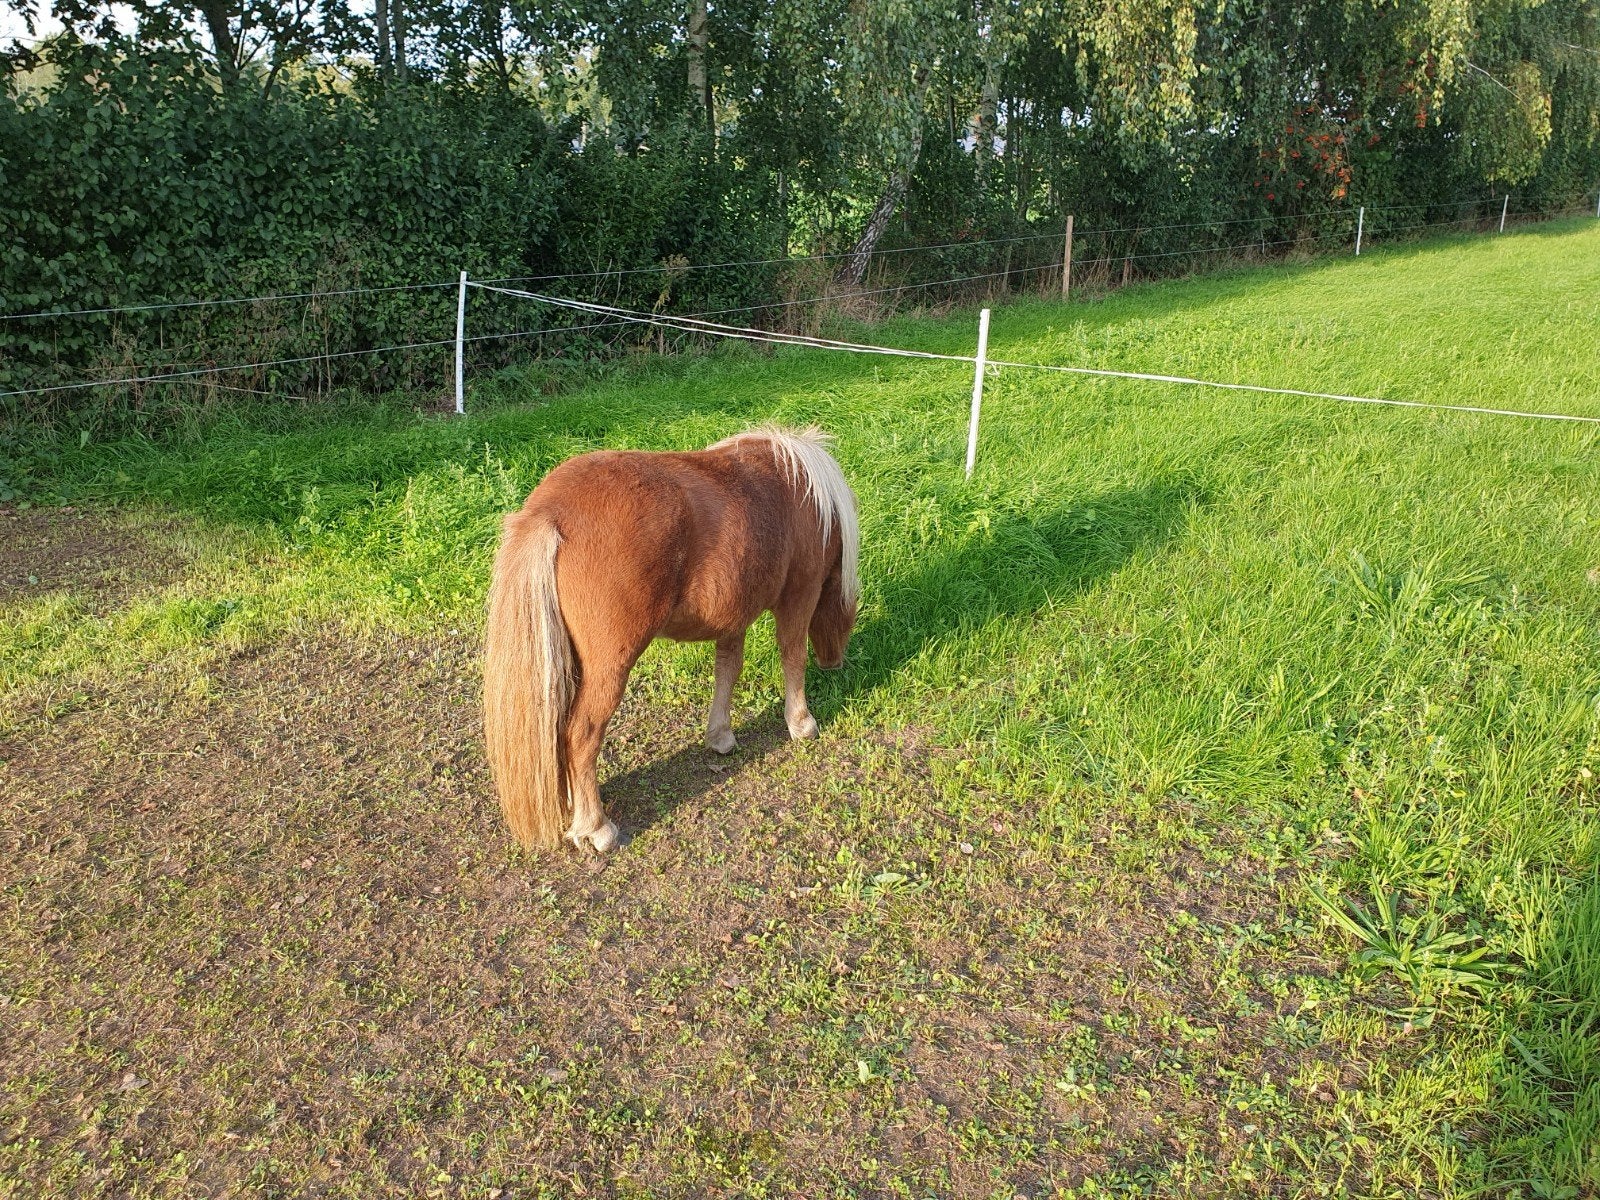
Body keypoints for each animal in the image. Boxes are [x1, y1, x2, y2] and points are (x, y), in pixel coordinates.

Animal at [483, 425, 859, 853]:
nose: (835, 660)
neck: (804, 493)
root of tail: (549, 512)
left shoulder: (734, 616)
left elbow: (728, 670)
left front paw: (720, 736)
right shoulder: (799, 596)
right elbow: (792, 656)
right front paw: (801, 724)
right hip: (610, 668)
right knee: (580, 735)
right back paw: (597, 828)